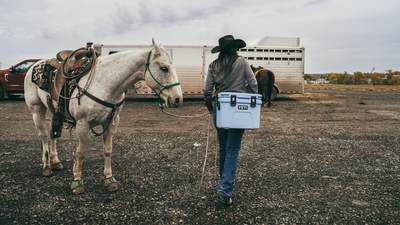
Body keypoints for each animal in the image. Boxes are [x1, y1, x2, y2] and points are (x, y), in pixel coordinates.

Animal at [23, 39, 183, 194]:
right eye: (164, 68)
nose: (177, 99)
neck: (104, 83)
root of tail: (33, 66)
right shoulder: (82, 124)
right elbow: (80, 153)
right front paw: (77, 181)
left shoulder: (111, 122)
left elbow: (108, 150)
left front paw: (109, 179)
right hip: (37, 110)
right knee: (44, 136)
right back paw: (46, 167)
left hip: (54, 110)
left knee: (52, 134)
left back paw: (56, 162)